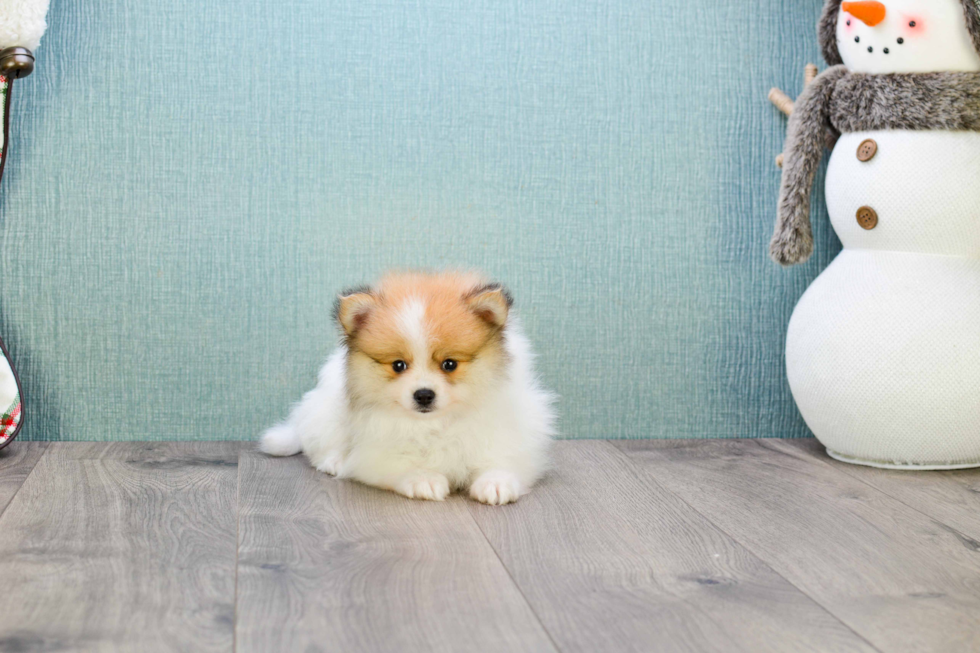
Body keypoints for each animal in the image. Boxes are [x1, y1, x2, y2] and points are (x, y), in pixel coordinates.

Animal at [256, 270, 556, 504]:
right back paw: (334, 461)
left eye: (449, 364)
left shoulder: (508, 429)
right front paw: (425, 479)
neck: (435, 424)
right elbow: (400, 463)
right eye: (398, 365)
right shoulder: (375, 451)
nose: (423, 395)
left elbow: (501, 458)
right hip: (326, 412)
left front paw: (495, 482)